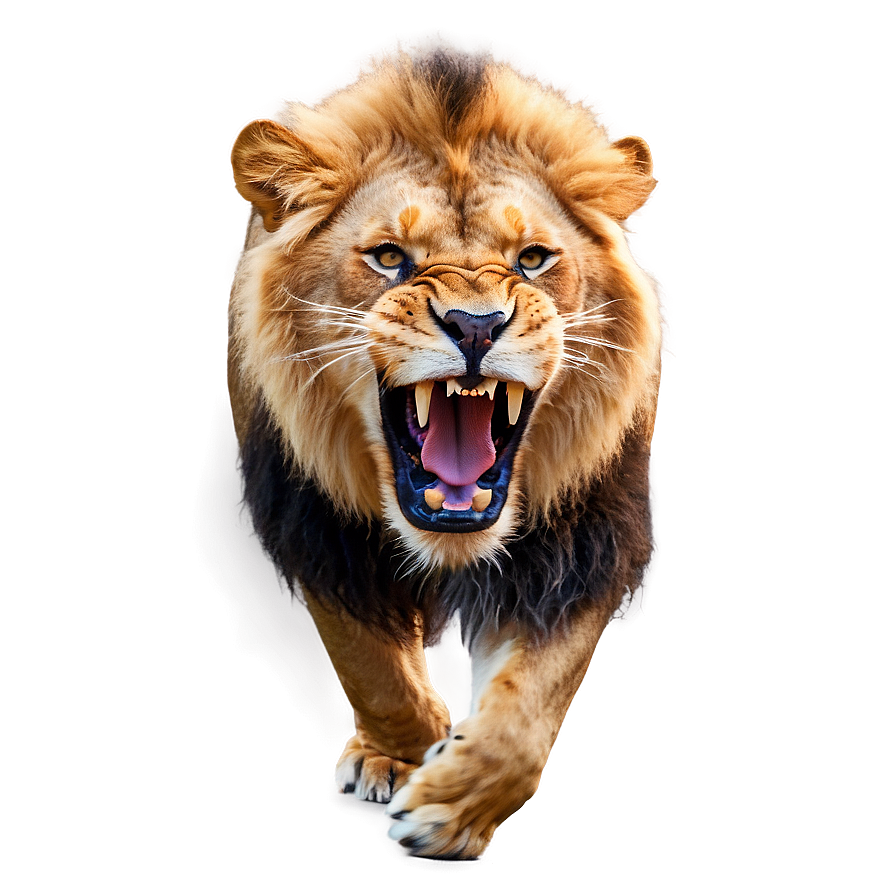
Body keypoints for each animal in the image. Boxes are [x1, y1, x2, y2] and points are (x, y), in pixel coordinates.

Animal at [228, 40, 661, 859]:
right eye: (389, 256)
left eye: (532, 259)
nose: (475, 324)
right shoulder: (317, 530)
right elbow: (371, 668)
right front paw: (403, 758)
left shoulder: (581, 544)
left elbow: (530, 706)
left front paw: (454, 803)